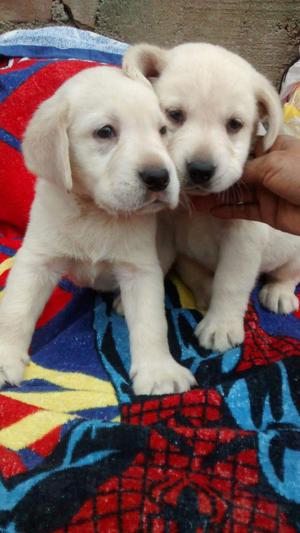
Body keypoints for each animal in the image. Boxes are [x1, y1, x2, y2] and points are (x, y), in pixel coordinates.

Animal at [0, 65, 196, 394]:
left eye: (162, 131)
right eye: (105, 131)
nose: (159, 177)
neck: (96, 211)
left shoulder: (140, 269)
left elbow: (151, 322)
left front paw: (159, 372)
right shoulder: (37, 259)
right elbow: (16, 309)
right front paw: (4, 357)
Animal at [123, 43, 300, 352]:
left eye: (235, 124)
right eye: (175, 114)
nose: (201, 170)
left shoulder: (242, 240)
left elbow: (230, 283)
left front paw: (222, 326)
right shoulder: (163, 229)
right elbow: (158, 263)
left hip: (294, 251)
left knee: (289, 274)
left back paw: (279, 292)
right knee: (196, 273)